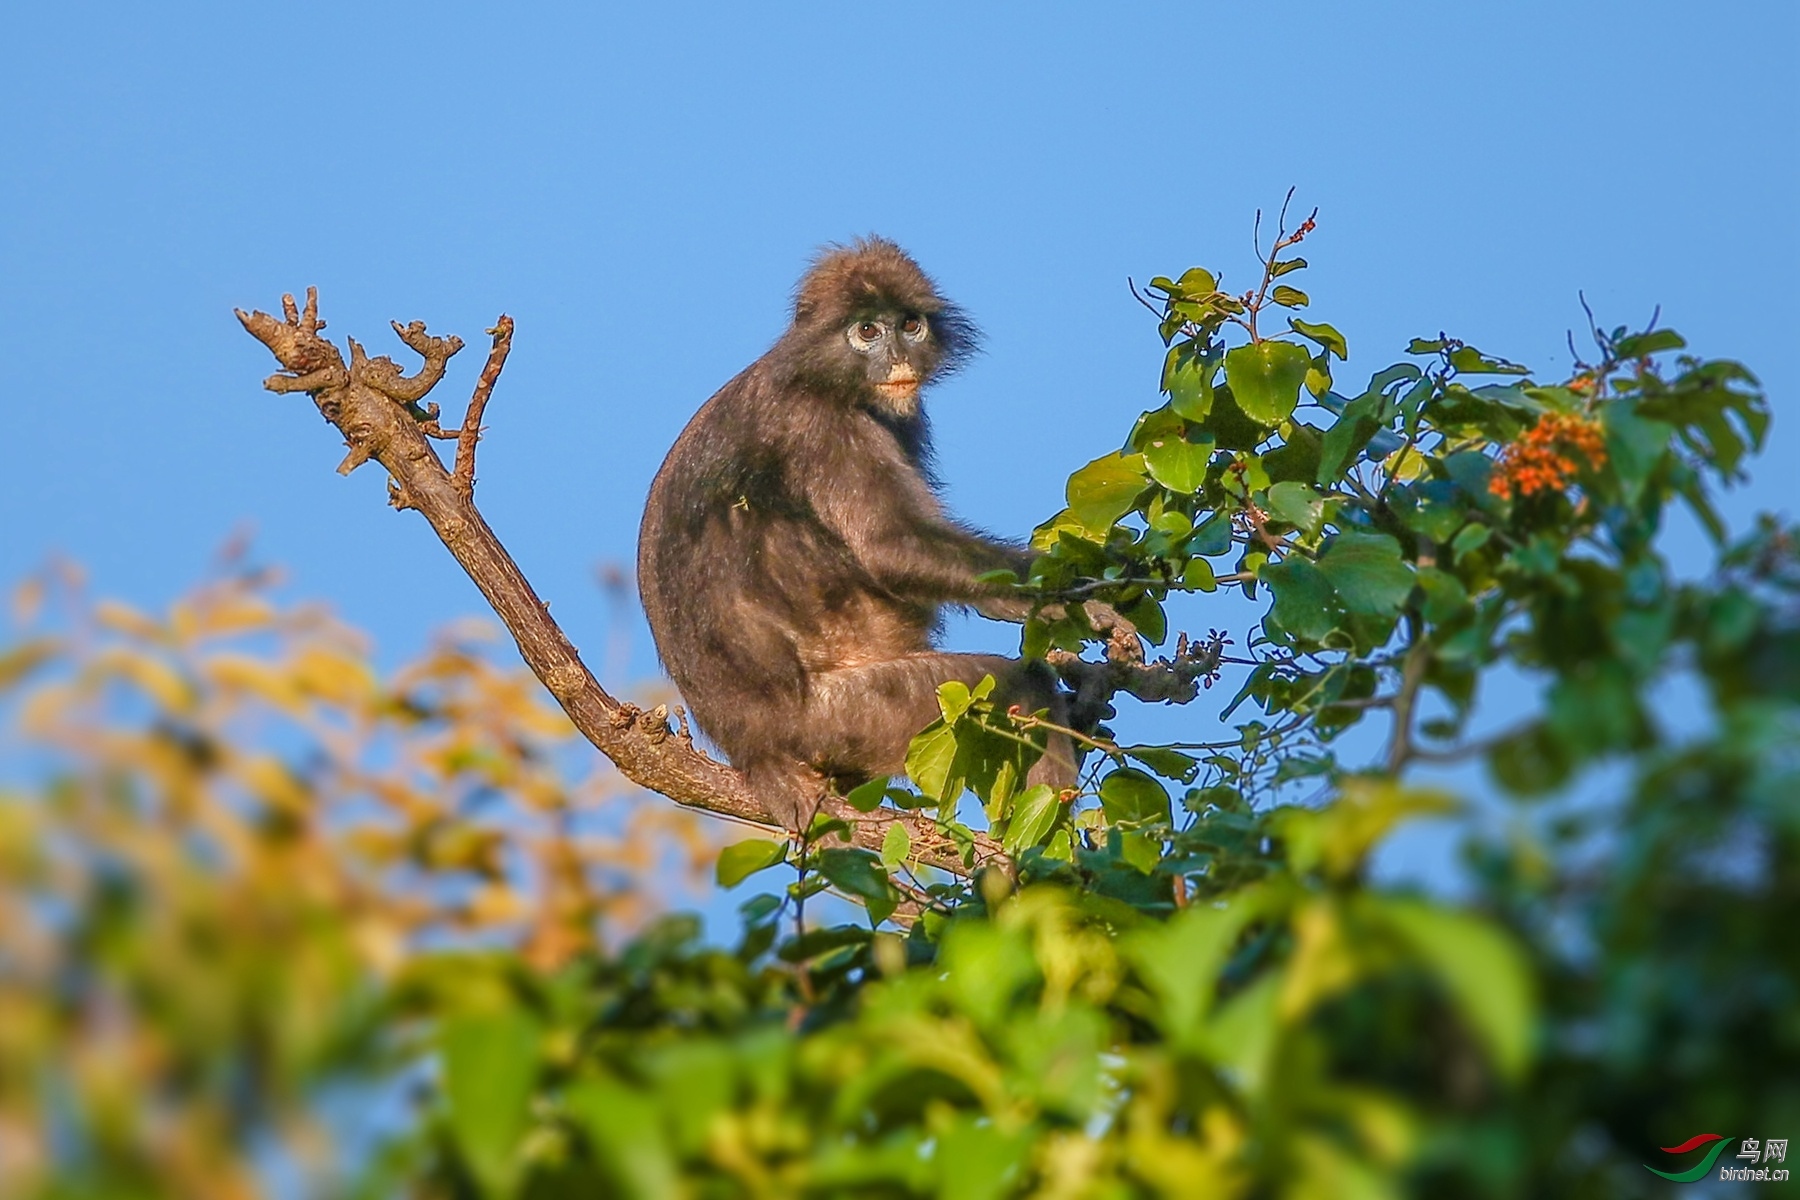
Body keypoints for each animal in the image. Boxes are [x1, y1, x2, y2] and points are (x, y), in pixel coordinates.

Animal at [637, 239, 1123, 831]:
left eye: (909, 325)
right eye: (866, 331)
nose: (897, 357)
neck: (820, 375)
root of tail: (750, 748)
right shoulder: (821, 425)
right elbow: (891, 547)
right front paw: (1081, 601)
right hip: (843, 717)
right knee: (1021, 687)